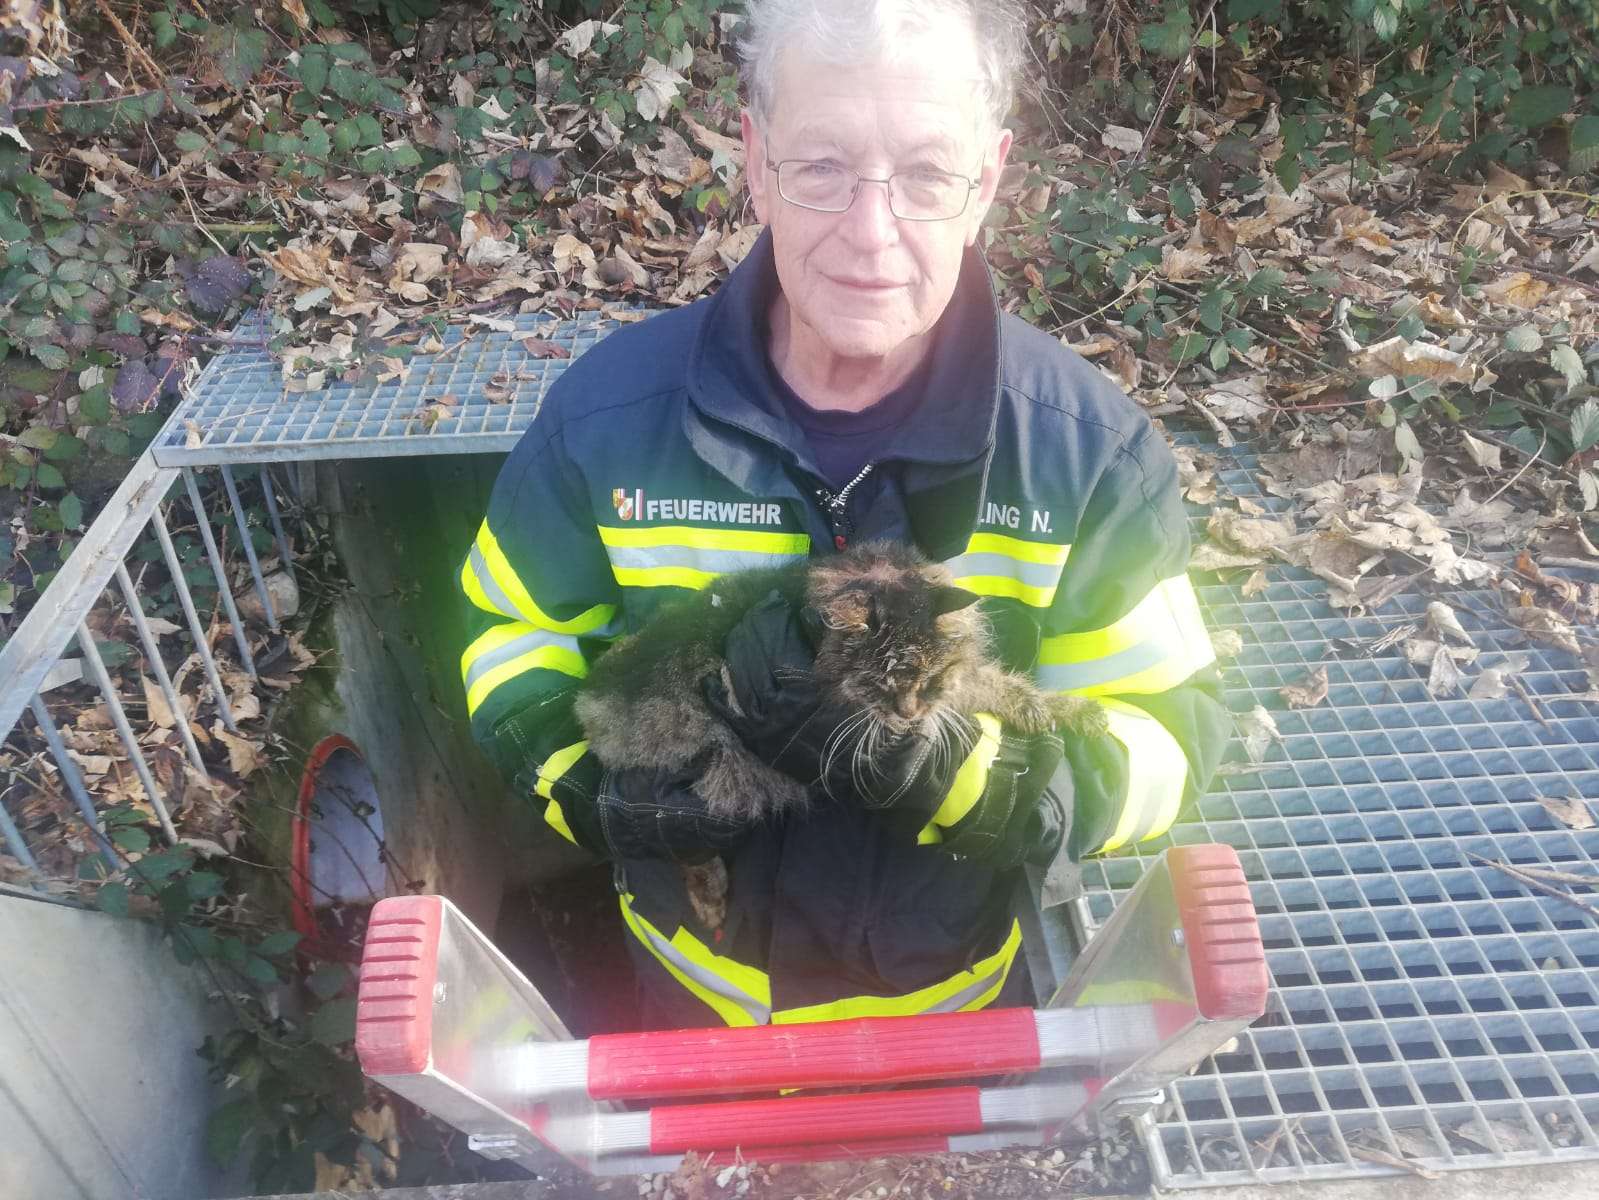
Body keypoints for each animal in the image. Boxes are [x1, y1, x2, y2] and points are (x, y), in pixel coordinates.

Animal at [574, 540, 1108, 928]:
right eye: (879, 682)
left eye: (928, 677)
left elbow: (1001, 686)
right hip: (707, 784)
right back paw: (711, 898)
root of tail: (597, 699)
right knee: (685, 845)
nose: (908, 715)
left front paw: (1070, 710)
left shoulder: (958, 683)